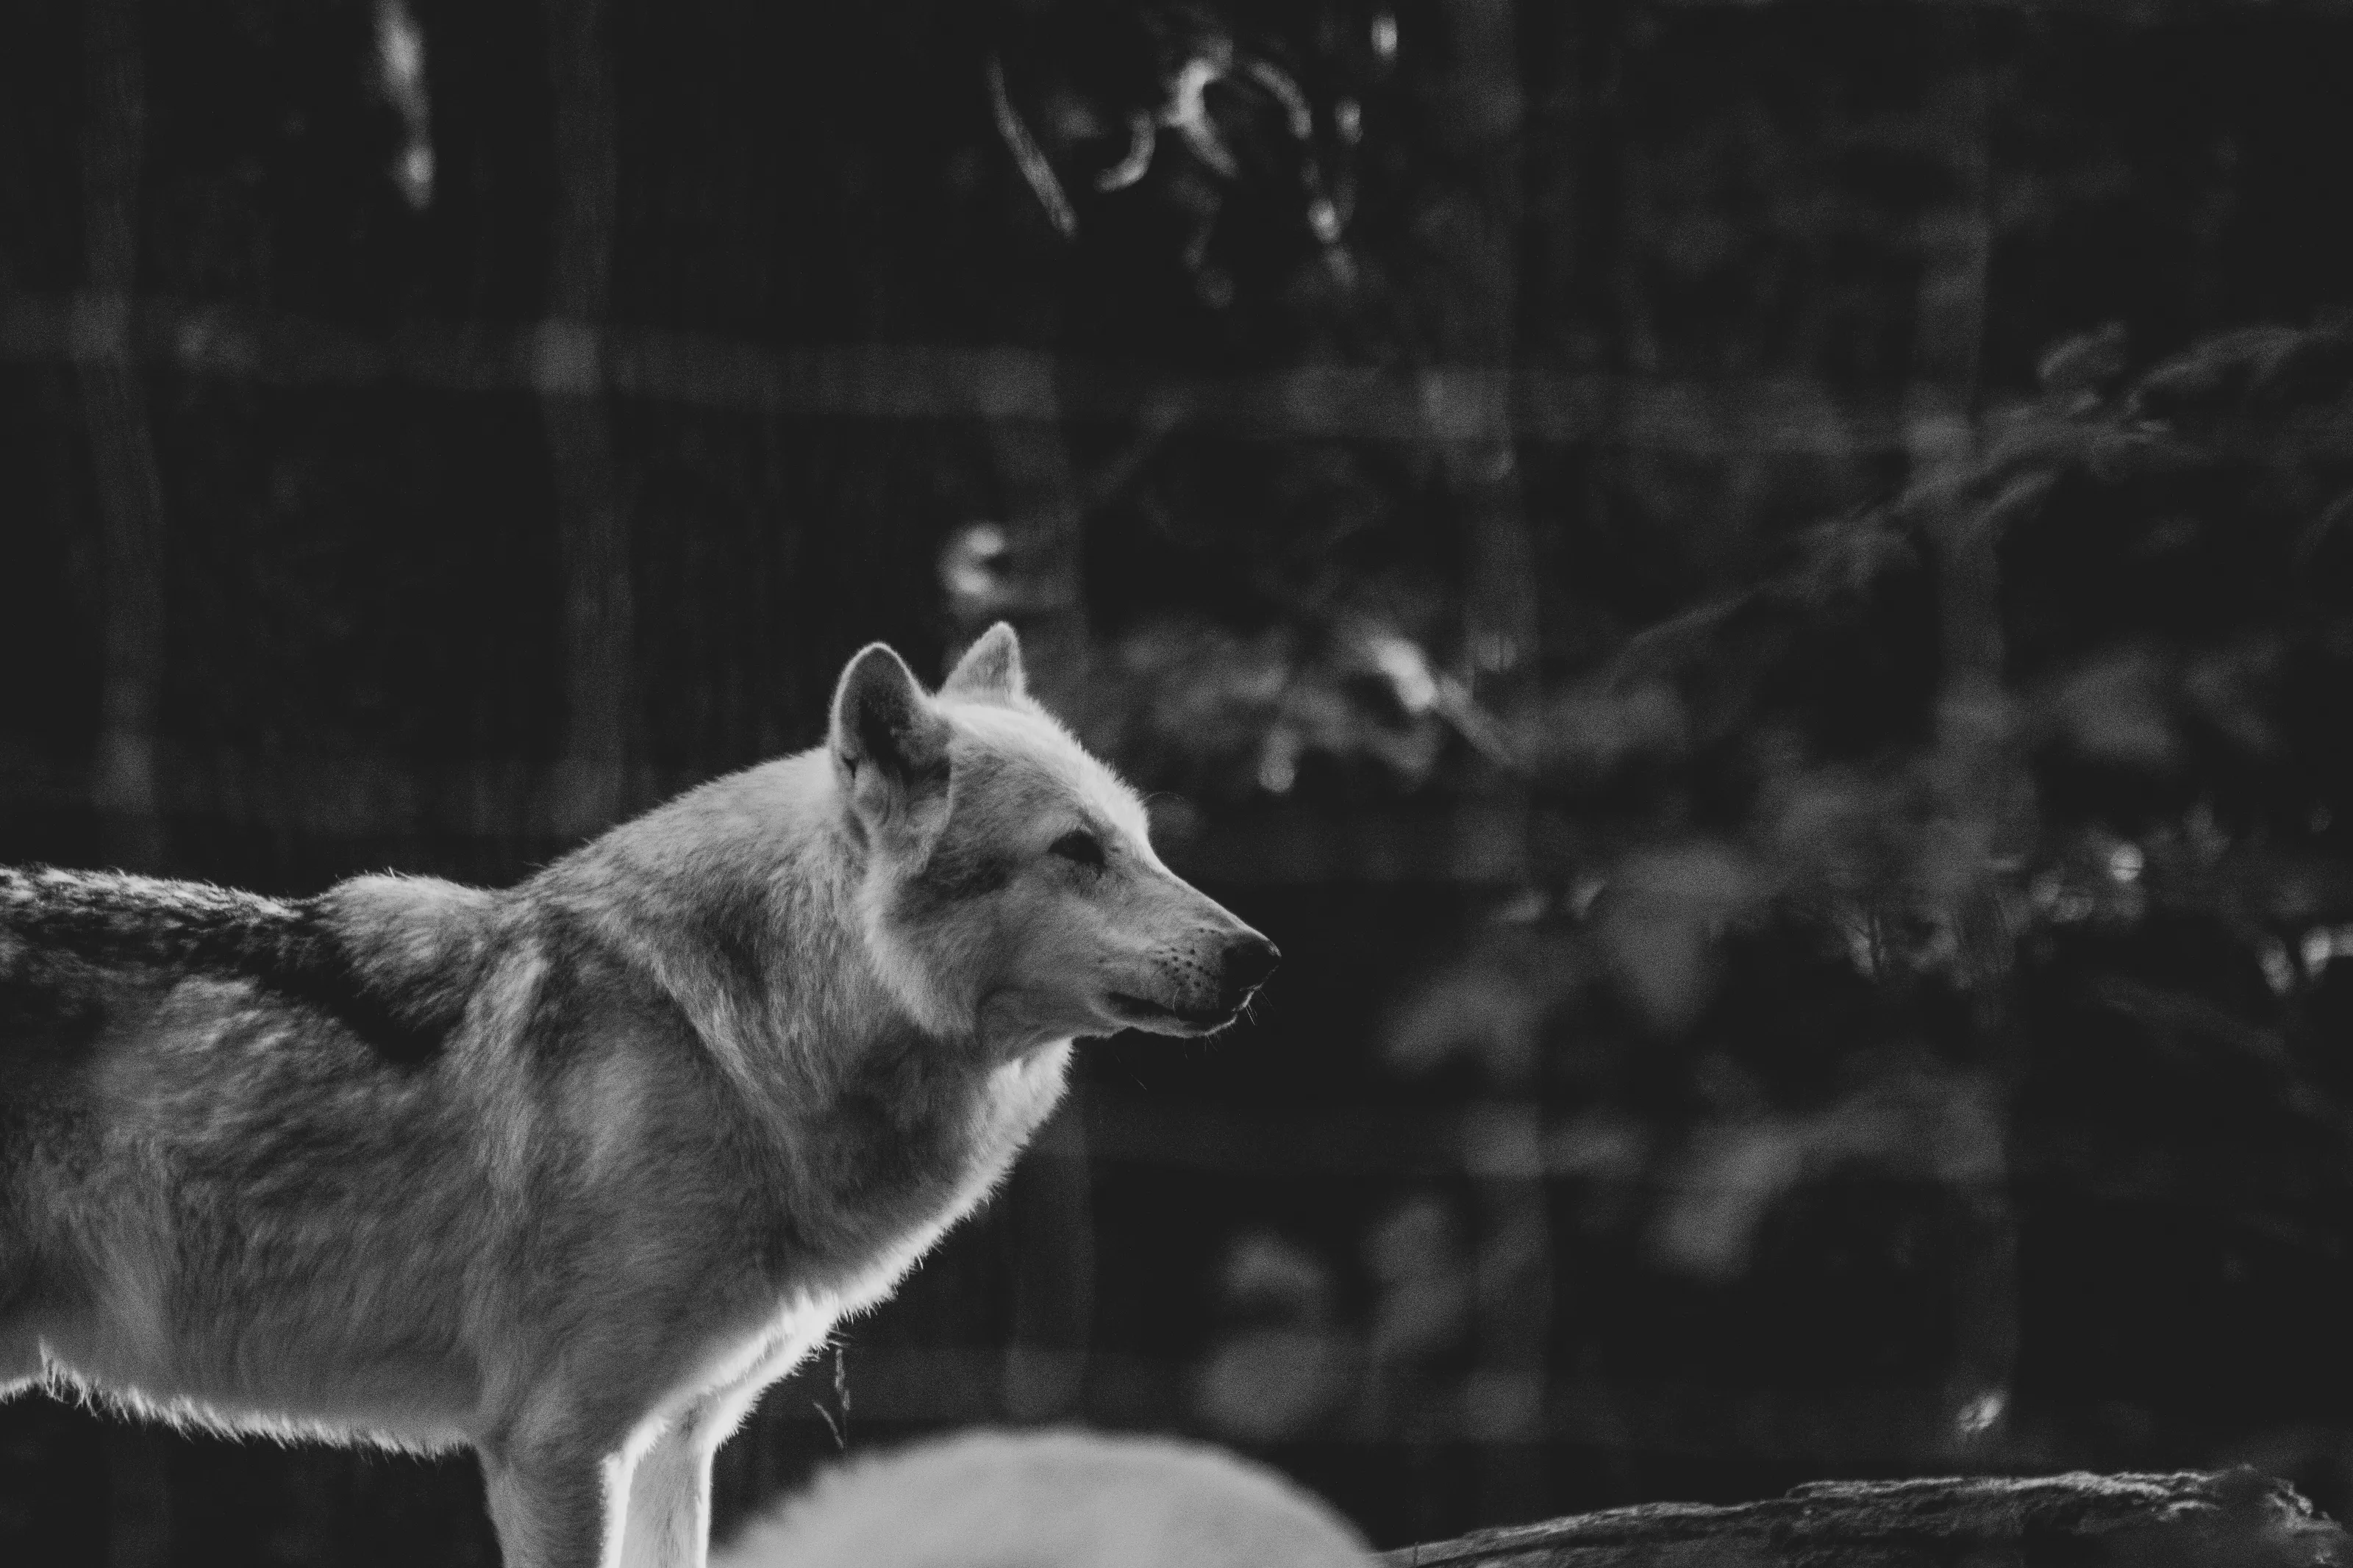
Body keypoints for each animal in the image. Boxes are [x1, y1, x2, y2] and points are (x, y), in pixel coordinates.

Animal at [0, 624, 1277, 1568]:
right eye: (1076, 851)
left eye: (1144, 843)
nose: (1260, 956)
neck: (731, 1051)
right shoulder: (558, 1447)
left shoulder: (681, 1440)